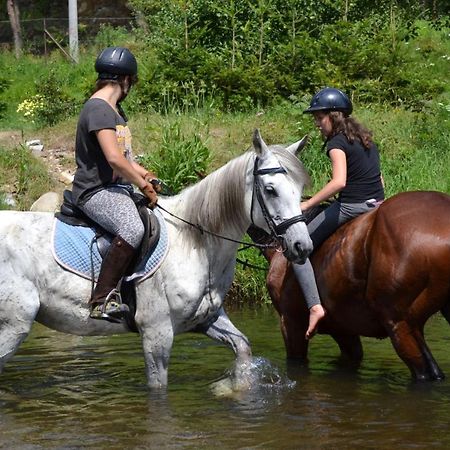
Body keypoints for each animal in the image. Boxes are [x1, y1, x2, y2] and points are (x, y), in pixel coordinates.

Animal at [0, 129, 312, 386]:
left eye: (299, 190)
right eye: (270, 190)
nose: (303, 246)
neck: (195, 242)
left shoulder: (207, 319)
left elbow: (243, 348)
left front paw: (233, 389)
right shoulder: (157, 333)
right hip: (14, 325)